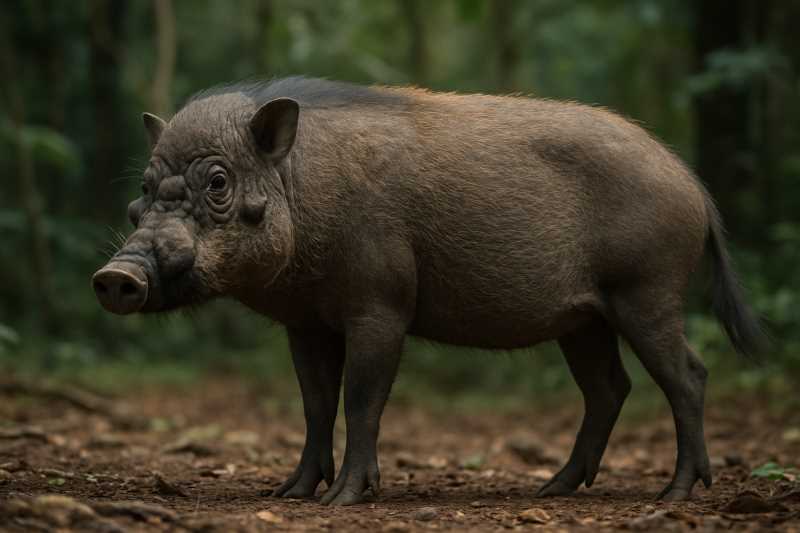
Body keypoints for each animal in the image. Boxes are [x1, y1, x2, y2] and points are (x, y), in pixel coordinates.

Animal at [92, 76, 764, 505]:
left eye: (217, 182)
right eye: (144, 189)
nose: (116, 276)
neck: (300, 192)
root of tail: (695, 189)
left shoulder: (381, 302)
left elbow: (362, 399)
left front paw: (343, 502)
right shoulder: (306, 321)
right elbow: (314, 403)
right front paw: (288, 494)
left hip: (646, 287)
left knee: (688, 376)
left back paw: (673, 495)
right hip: (585, 318)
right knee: (610, 387)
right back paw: (553, 489)